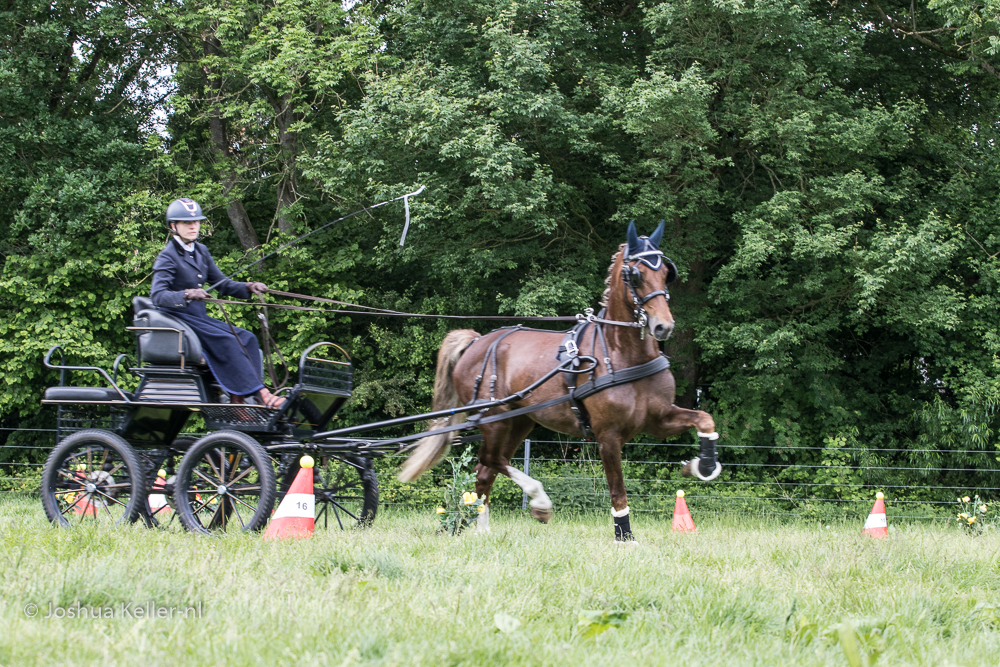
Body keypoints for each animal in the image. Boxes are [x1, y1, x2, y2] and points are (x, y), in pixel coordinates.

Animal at [398, 222, 720, 540]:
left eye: (666, 272)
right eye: (636, 274)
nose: (663, 326)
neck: (621, 354)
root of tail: (477, 341)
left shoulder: (658, 419)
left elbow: (704, 419)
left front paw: (702, 466)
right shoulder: (608, 435)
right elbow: (617, 490)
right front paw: (624, 537)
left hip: (519, 421)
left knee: (486, 470)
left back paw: (484, 530)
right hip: (495, 420)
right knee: (491, 459)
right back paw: (538, 502)